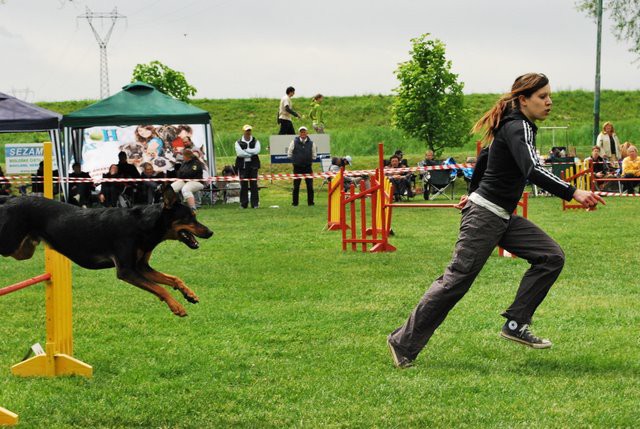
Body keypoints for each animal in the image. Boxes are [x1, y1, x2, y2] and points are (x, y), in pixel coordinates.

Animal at [0, 186, 215, 314]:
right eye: (190, 217)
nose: (211, 232)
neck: (144, 225)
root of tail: (8, 200)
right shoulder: (127, 271)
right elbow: (160, 288)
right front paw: (177, 306)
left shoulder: (142, 267)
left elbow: (173, 279)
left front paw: (189, 295)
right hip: (9, 244)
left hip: (23, 250)